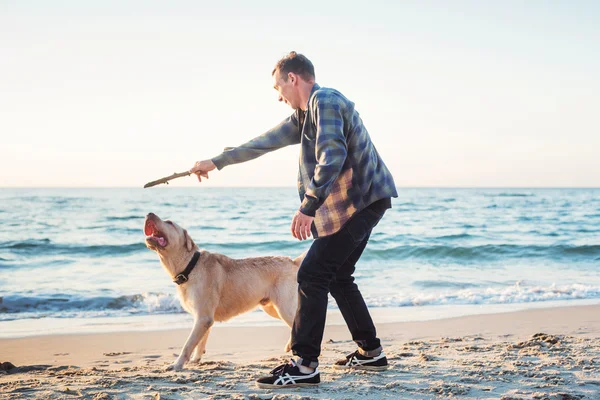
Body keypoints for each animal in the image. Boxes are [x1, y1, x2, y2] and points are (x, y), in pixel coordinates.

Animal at [144, 212, 302, 372]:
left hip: (284, 308)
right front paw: (196, 359)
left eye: (169, 223)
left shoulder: (203, 317)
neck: (190, 266)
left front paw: (177, 364)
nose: (149, 214)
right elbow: (200, 341)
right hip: (272, 308)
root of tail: (292, 262)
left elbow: (188, 344)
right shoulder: (203, 318)